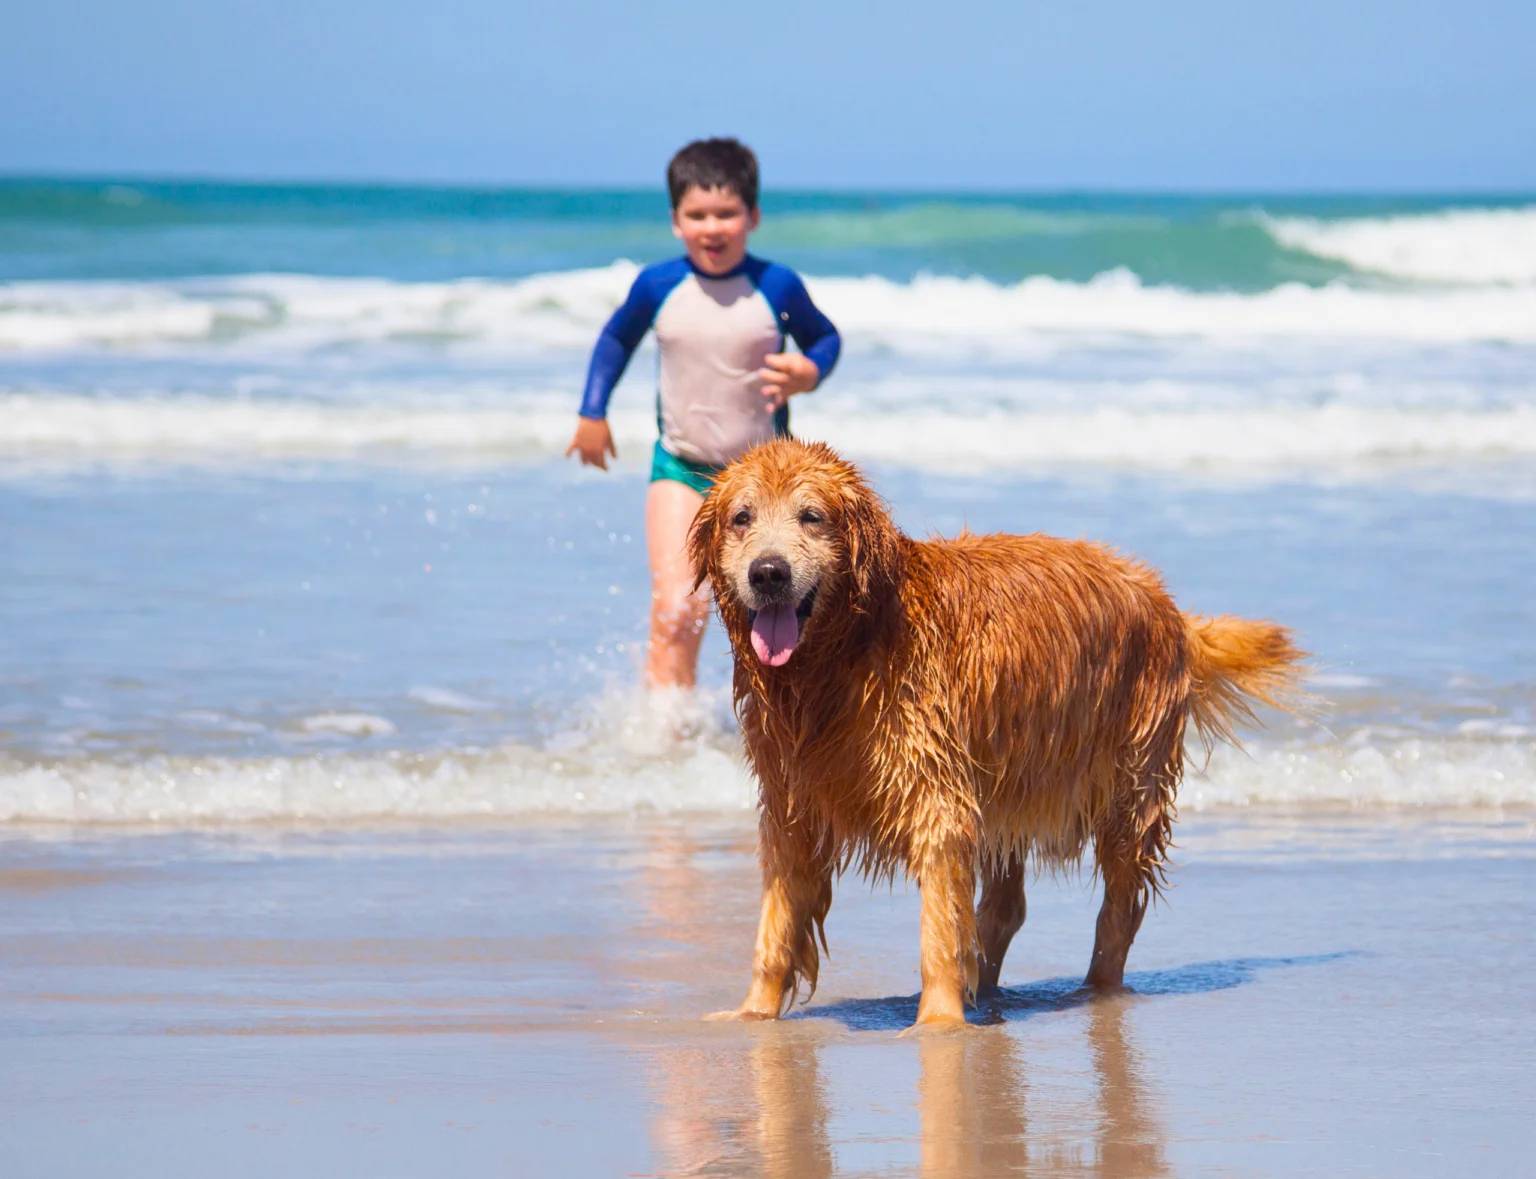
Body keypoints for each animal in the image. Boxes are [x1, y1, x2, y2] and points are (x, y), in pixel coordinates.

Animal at [691, 435, 1302, 1025]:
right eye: (742, 517)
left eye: (811, 516)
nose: (768, 573)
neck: (841, 659)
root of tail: (1166, 602)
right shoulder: (792, 800)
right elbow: (776, 926)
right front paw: (752, 1013)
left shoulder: (935, 794)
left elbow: (939, 928)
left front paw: (939, 1023)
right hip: (1006, 775)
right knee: (1007, 907)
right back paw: (985, 989)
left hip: (1130, 784)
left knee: (1119, 907)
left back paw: (1094, 992)